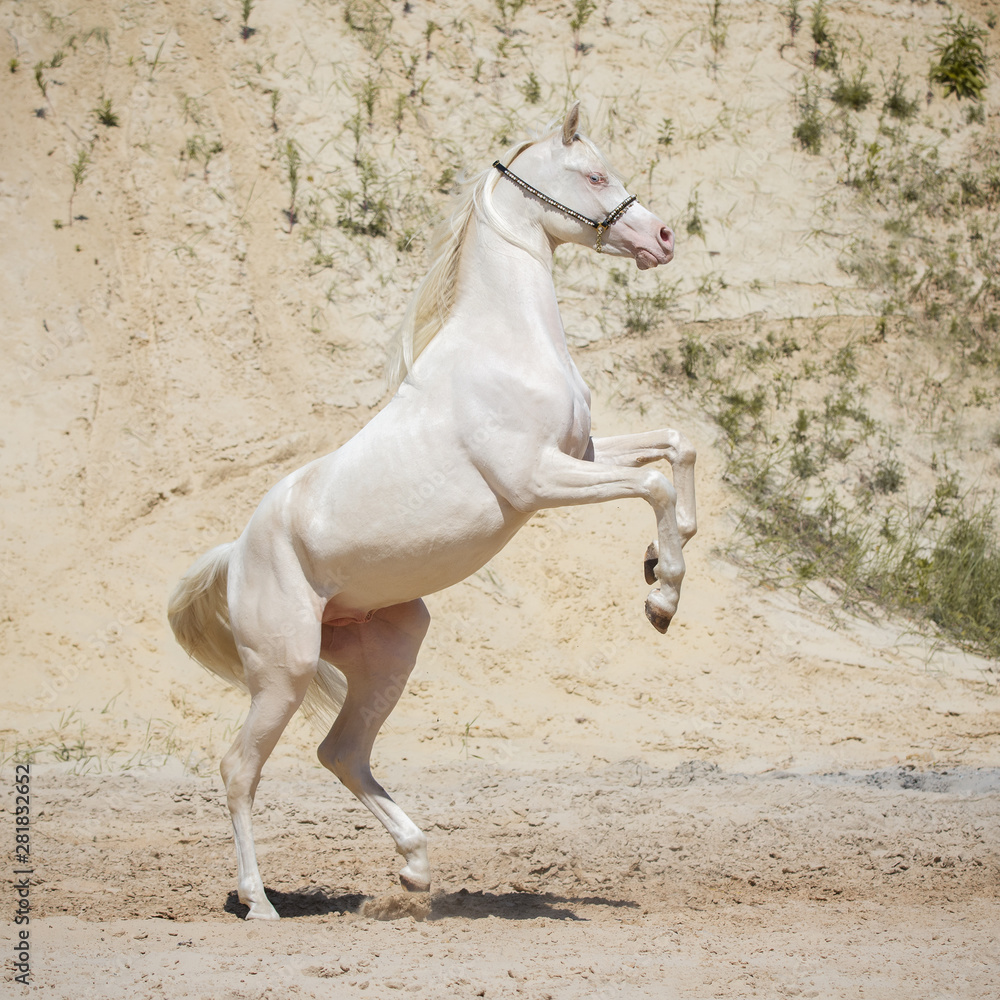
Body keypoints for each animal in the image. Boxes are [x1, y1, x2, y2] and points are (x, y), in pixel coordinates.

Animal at [168, 103, 696, 920]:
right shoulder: (539, 481)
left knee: (341, 752)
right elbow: (655, 484)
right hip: (284, 672)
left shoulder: (582, 450)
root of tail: (238, 553)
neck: (507, 342)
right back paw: (259, 902)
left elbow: (677, 445)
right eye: (593, 175)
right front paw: (661, 597)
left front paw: (661, 562)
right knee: (238, 768)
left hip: (392, 648)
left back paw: (415, 870)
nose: (662, 238)